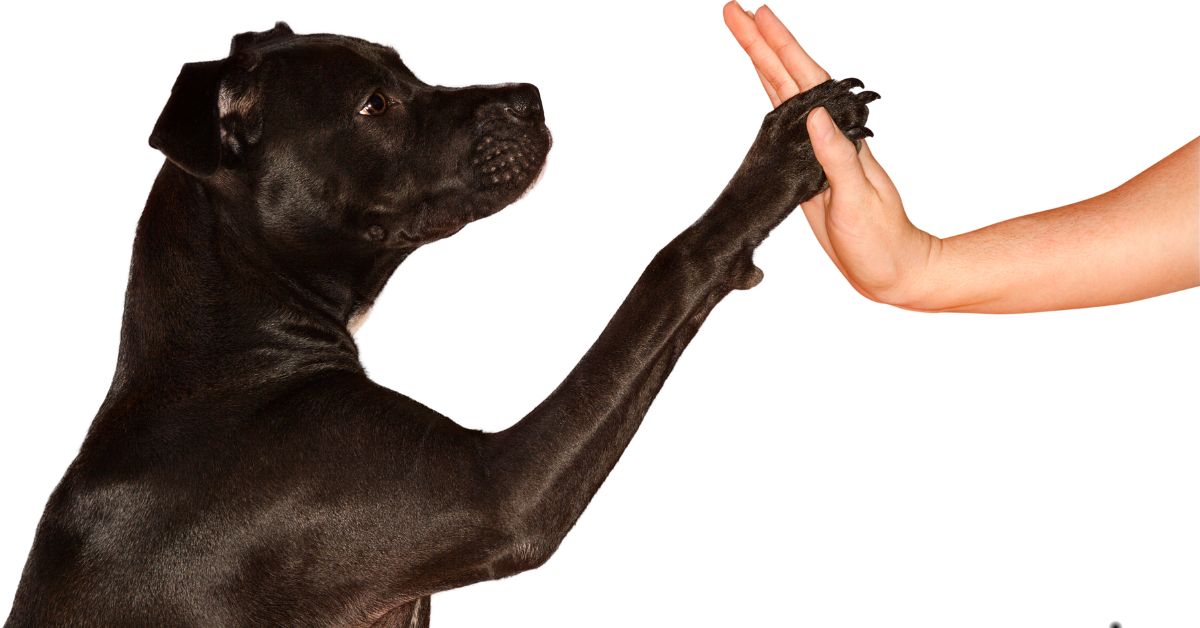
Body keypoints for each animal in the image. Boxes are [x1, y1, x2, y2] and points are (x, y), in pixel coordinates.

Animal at [4, 22, 878, 624]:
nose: (530, 96)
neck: (222, 361)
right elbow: (669, 269)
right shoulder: (499, 492)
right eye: (375, 103)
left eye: (407, 69)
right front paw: (783, 156)